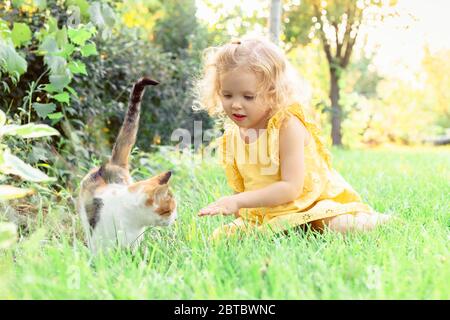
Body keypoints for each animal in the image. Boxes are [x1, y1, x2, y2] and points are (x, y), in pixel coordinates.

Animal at [76, 77, 177, 252]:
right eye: (169, 210)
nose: (176, 218)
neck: (132, 220)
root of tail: (111, 164)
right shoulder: (100, 240)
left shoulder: (133, 243)